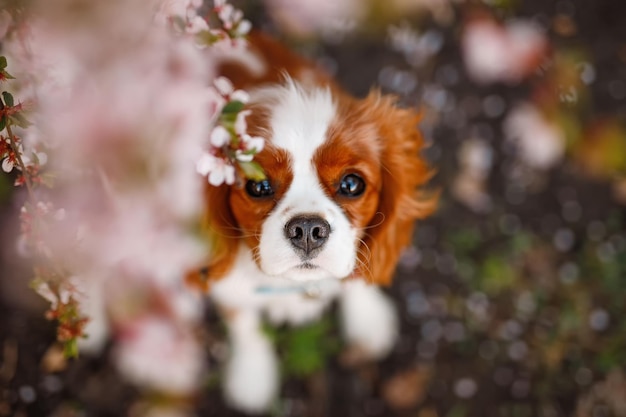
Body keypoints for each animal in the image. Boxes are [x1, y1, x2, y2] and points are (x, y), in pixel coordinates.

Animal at [195, 33, 434, 412]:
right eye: (257, 186)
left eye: (351, 184)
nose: (307, 229)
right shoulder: (227, 288)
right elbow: (246, 328)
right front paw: (252, 376)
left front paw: (368, 318)